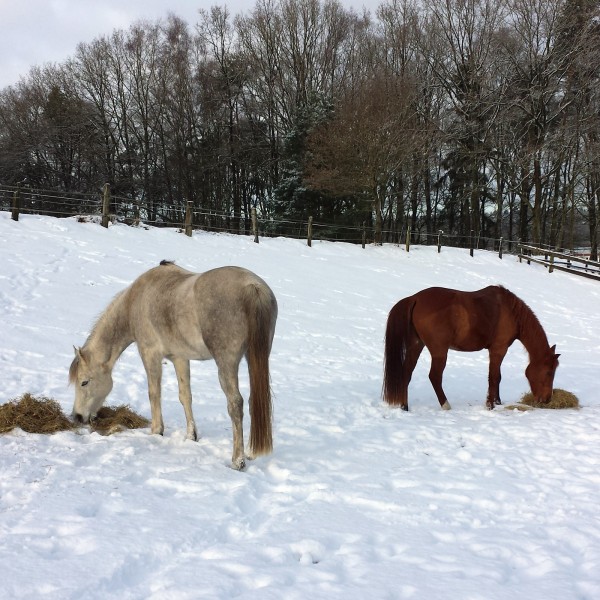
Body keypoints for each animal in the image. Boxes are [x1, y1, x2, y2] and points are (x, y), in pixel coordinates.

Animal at [69, 262, 278, 468]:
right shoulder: (180, 358)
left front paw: (156, 431)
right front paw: (191, 436)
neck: (135, 301)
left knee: (235, 404)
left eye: (84, 382)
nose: (77, 416)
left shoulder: (150, 354)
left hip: (226, 363)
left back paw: (238, 460)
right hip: (253, 358)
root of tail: (253, 287)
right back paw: (249, 452)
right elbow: (185, 396)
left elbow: (154, 393)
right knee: (252, 401)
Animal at [382, 284, 560, 408]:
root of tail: (415, 298)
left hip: (417, 345)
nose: (547, 399)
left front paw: (498, 401)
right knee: (434, 377)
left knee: (406, 373)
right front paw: (491, 405)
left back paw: (404, 406)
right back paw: (446, 405)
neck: (511, 312)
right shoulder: (498, 350)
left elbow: (498, 377)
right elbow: (494, 377)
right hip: (439, 351)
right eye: (549, 372)